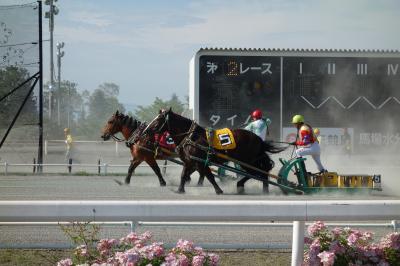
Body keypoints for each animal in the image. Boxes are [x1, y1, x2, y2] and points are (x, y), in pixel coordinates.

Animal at [142, 109, 286, 194]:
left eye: (158, 120)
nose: (145, 131)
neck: (192, 137)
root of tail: (258, 139)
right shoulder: (189, 160)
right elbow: (184, 175)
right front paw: (180, 189)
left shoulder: (200, 161)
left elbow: (209, 175)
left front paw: (218, 190)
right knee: (261, 171)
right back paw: (261, 188)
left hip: (247, 160)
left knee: (257, 172)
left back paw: (248, 186)